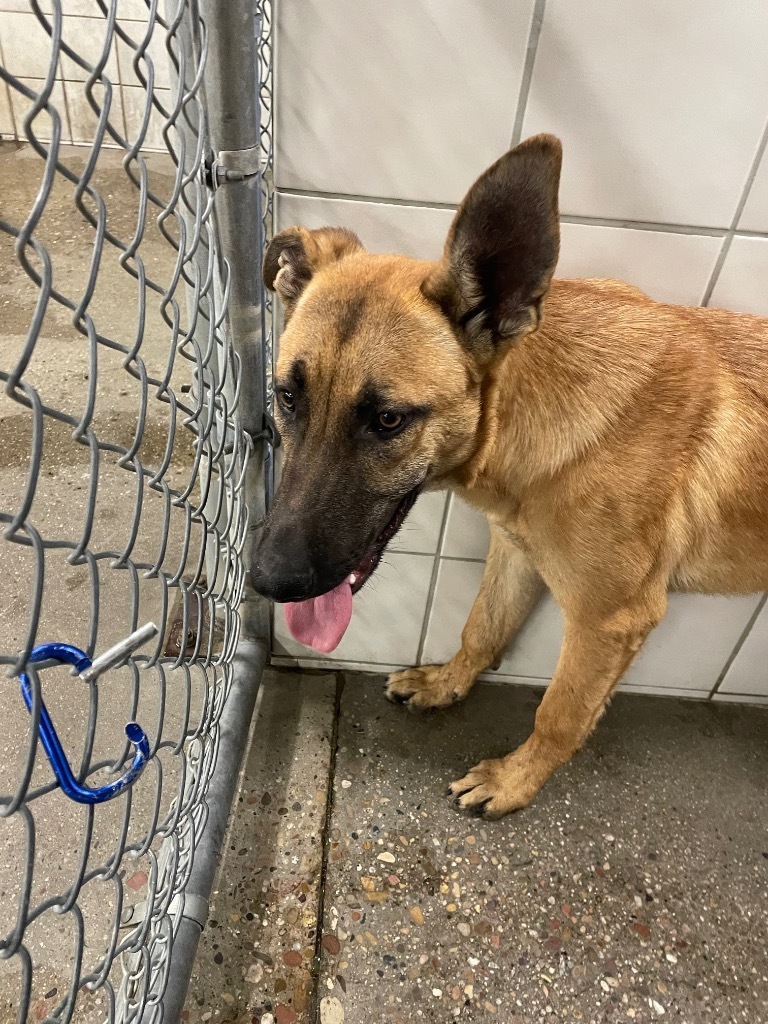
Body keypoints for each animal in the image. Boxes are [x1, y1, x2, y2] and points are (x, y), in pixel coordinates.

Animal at [252, 136, 768, 819]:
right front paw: (446, 683)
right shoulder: (517, 550)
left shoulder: (611, 621)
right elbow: (481, 628)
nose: (267, 580)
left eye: (388, 420)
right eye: (287, 397)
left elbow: (560, 715)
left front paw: (513, 781)